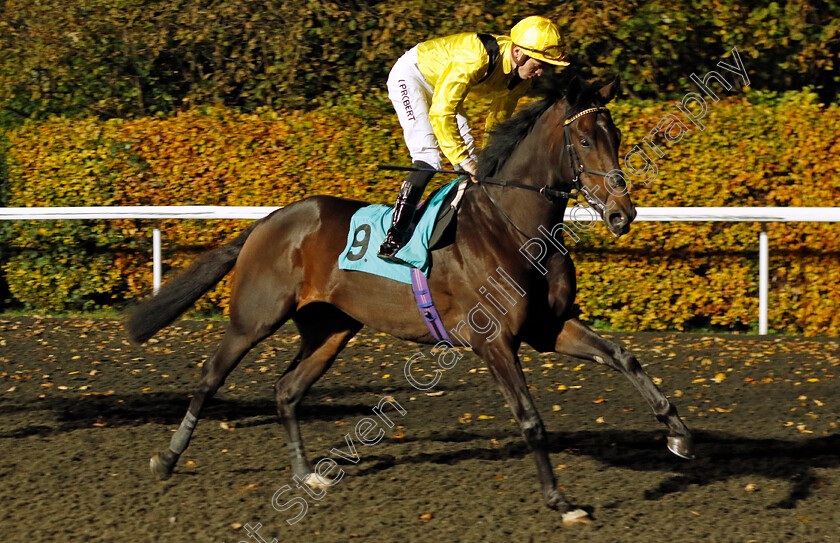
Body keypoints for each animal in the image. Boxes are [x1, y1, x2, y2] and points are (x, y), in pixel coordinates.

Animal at [123, 75, 688, 524]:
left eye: (617, 137)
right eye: (587, 139)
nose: (621, 214)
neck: (514, 227)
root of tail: (268, 221)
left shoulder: (547, 328)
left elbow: (623, 355)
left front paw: (677, 431)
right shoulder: (494, 341)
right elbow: (530, 418)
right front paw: (561, 502)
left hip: (331, 328)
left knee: (286, 390)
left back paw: (307, 475)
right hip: (254, 319)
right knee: (209, 378)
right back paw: (167, 459)